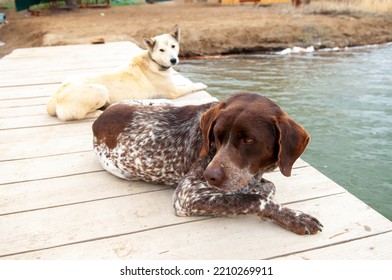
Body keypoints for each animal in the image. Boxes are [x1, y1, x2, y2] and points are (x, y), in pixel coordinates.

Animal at [46, 26, 208, 121]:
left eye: (173, 46)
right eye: (161, 50)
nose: (173, 60)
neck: (153, 61)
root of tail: (52, 101)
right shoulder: (174, 92)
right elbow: (191, 86)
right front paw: (201, 84)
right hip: (100, 90)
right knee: (76, 115)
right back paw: (97, 112)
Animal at [93, 92, 324, 234]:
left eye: (249, 140)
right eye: (217, 135)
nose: (209, 176)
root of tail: (98, 120)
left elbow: (267, 187)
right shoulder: (187, 194)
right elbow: (253, 199)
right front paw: (294, 217)